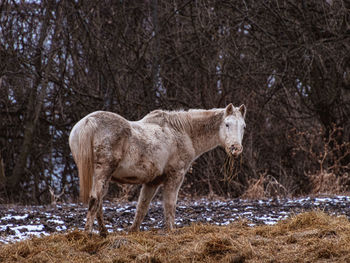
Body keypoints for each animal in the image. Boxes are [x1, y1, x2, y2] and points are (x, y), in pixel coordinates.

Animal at [68, 103, 246, 237]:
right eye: (227, 124)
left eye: (243, 126)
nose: (236, 148)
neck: (182, 132)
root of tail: (89, 121)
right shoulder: (175, 176)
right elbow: (169, 204)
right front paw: (171, 230)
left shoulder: (152, 182)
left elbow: (142, 207)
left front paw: (133, 231)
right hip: (102, 173)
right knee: (94, 200)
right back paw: (88, 234)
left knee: (98, 202)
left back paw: (103, 232)